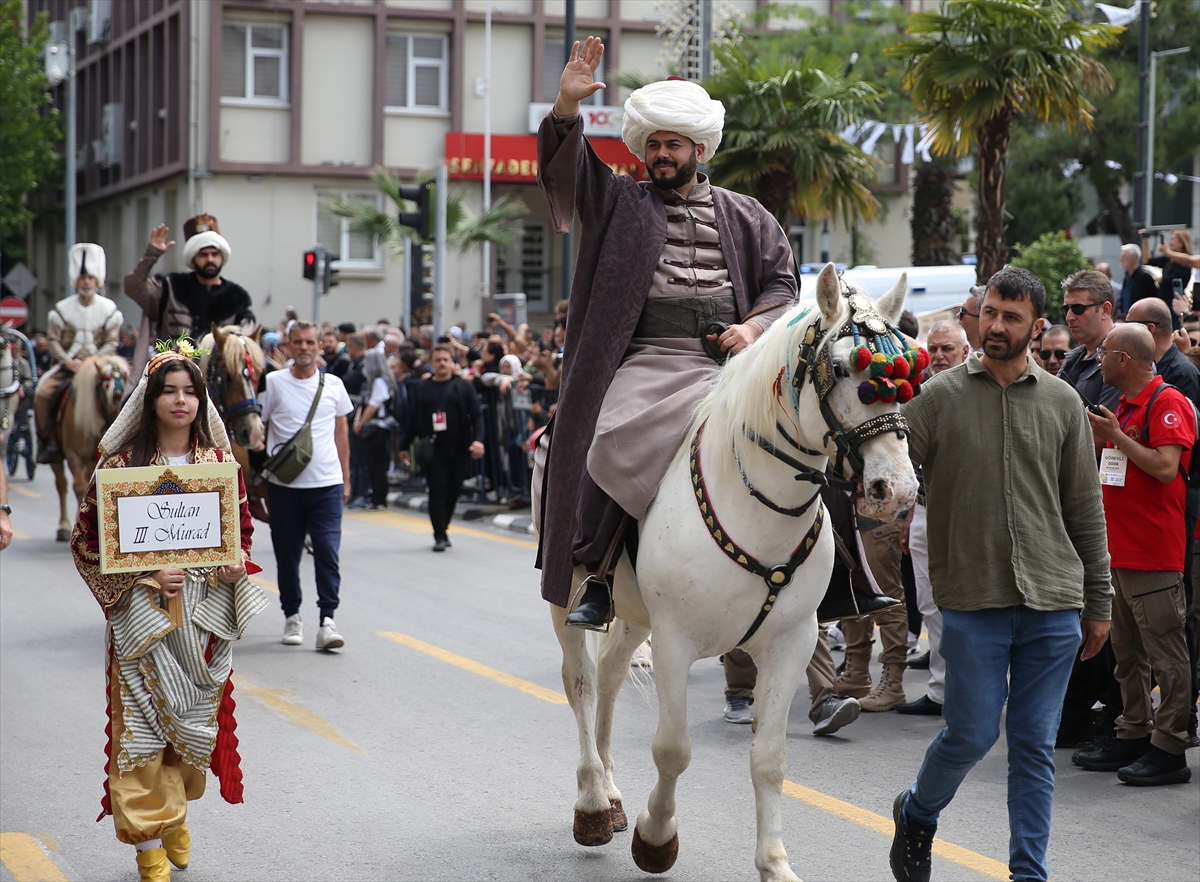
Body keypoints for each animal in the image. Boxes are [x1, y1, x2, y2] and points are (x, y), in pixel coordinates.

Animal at [535, 264, 916, 882]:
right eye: (841, 369)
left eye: (909, 367)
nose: (897, 490)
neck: (759, 508)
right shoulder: (675, 640)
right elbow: (672, 749)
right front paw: (656, 837)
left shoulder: (790, 643)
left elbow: (770, 758)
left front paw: (775, 863)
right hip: (567, 595)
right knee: (583, 683)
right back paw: (592, 804)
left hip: (633, 612)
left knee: (611, 676)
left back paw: (612, 796)